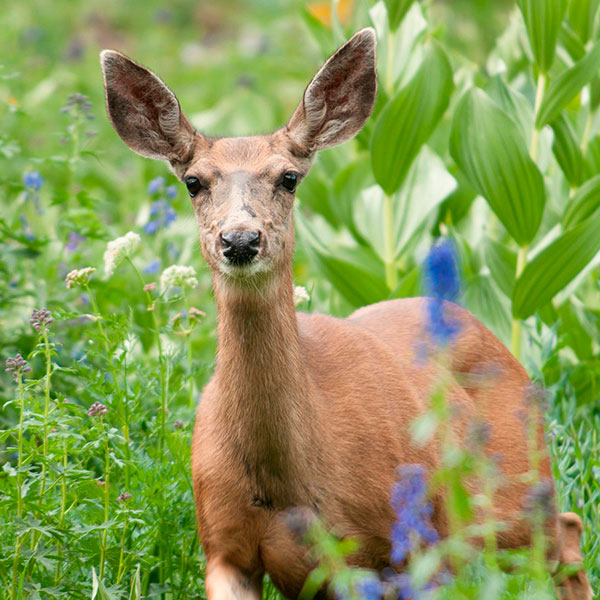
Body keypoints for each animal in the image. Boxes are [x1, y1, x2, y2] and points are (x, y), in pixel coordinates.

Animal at [99, 29, 592, 600]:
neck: (287, 482)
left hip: (510, 493)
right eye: (194, 182)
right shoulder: (223, 546)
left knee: (567, 532)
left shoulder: (389, 552)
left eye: (289, 177)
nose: (240, 239)